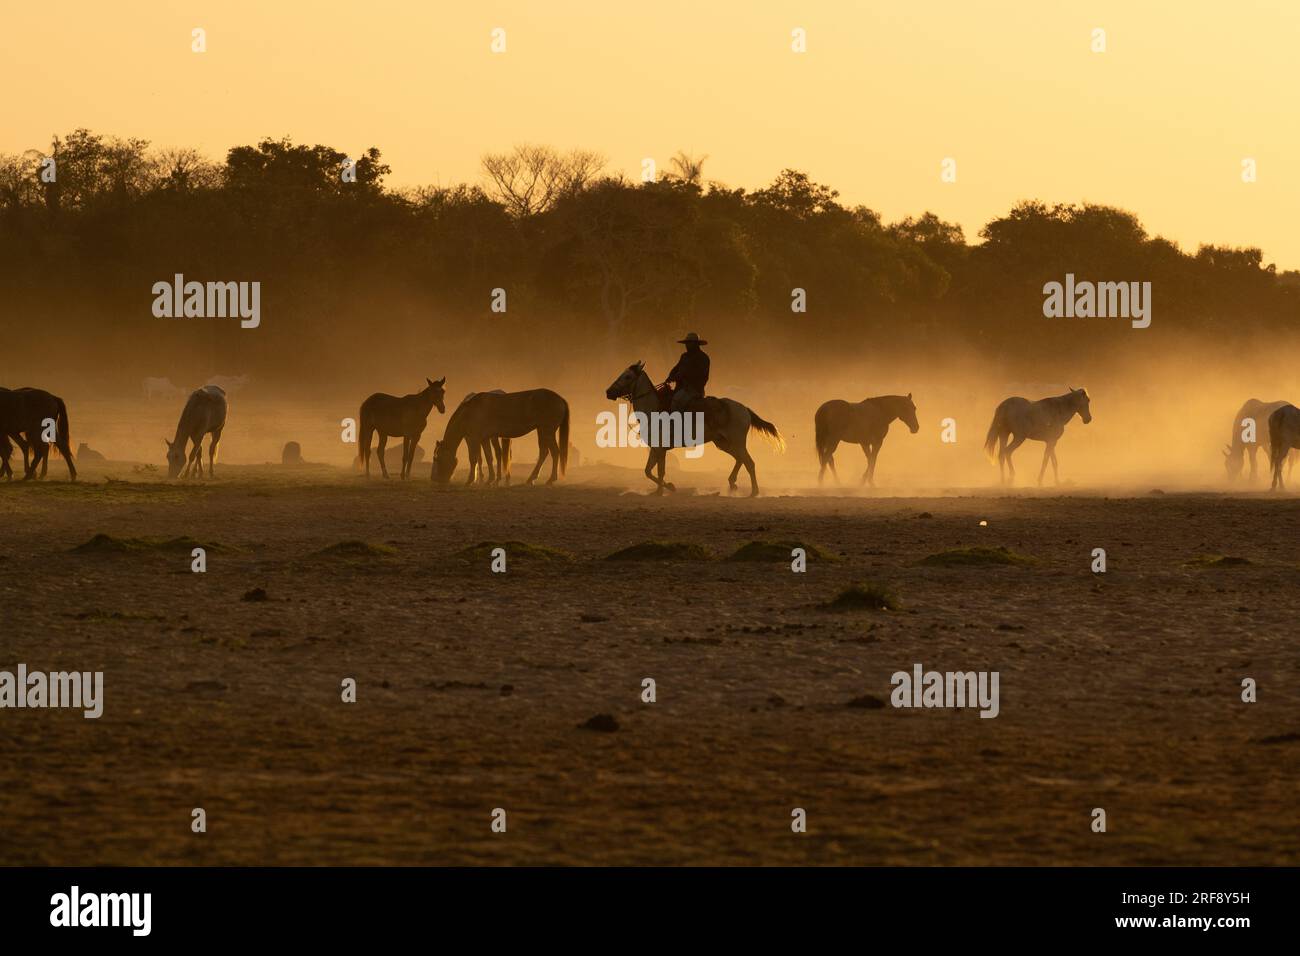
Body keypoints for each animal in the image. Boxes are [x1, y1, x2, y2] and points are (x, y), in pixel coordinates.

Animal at [431, 390, 569, 486]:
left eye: (437, 459)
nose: (436, 479)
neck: (470, 412)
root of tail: (560, 399)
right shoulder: (484, 439)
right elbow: (489, 457)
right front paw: (490, 480)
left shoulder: (474, 439)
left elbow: (473, 459)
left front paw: (470, 480)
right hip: (542, 431)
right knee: (545, 452)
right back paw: (533, 479)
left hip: (547, 431)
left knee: (554, 452)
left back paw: (549, 479)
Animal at [600, 356, 780, 494]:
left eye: (628, 376)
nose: (609, 392)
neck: (654, 408)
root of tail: (744, 409)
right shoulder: (658, 449)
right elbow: (652, 471)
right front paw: (662, 490)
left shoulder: (659, 448)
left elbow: (655, 471)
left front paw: (666, 489)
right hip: (724, 443)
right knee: (740, 460)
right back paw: (732, 483)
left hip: (737, 442)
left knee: (749, 462)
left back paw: (754, 492)